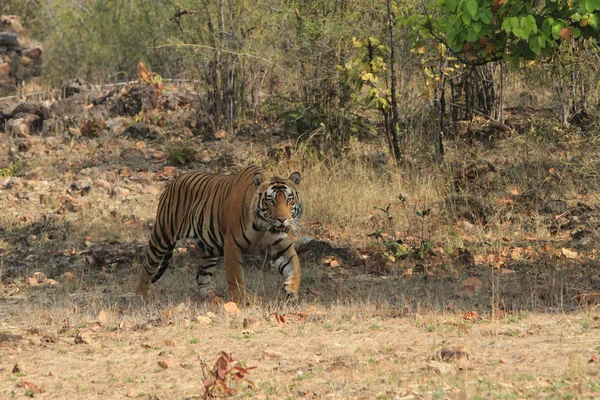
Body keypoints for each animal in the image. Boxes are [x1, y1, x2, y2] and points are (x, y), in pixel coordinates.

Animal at [137, 165, 304, 304]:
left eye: (289, 199)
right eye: (270, 201)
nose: (282, 219)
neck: (263, 227)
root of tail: (175, 180)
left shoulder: (281, 246)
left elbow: (295, 266)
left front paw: (291, 291)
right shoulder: (232, 244)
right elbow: (235, 276)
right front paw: (238, 301)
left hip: (208, 249)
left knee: (202, 276)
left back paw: (211, 299)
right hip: (162, 236)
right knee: (147, 265)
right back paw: (142, 296)